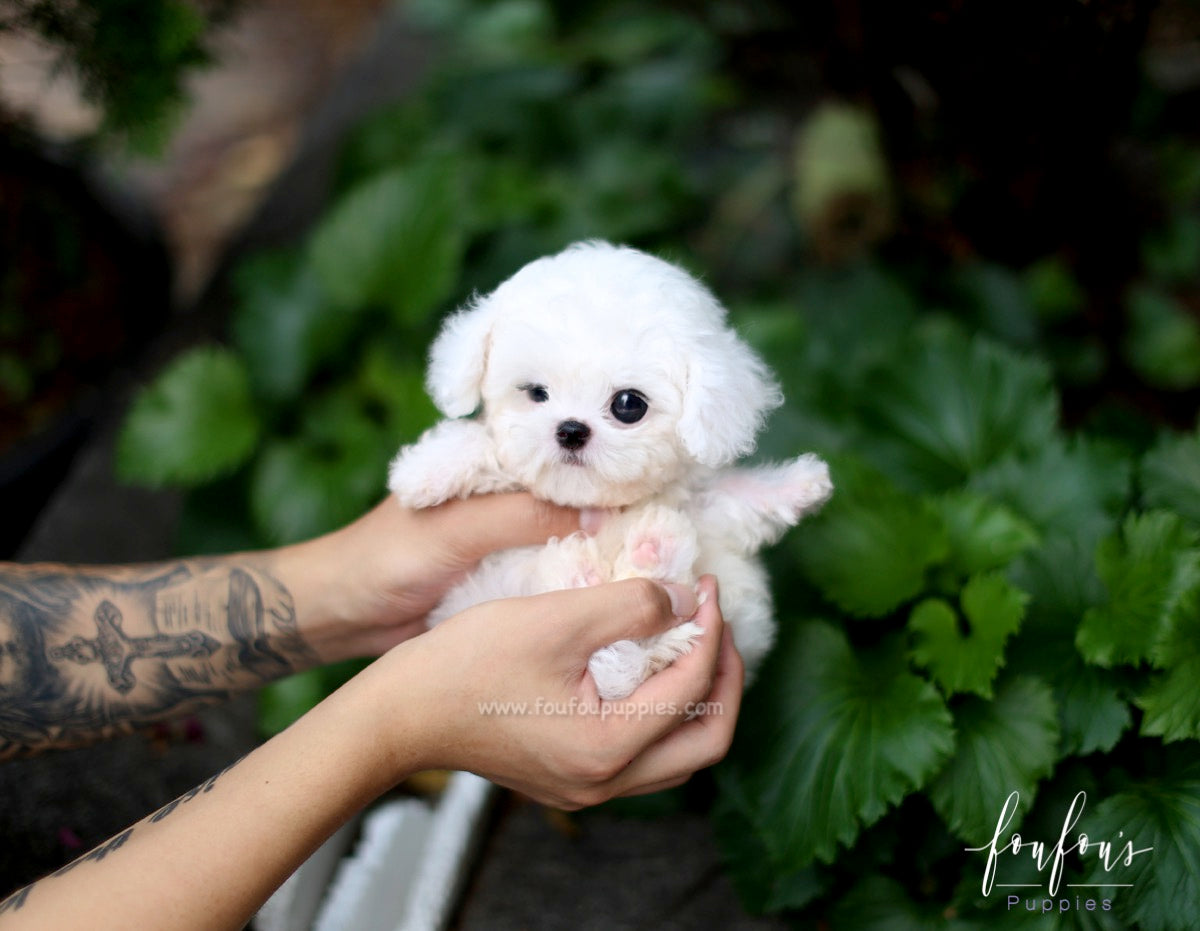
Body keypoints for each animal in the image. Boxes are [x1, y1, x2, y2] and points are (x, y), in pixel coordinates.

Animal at [388, 239, 830, 700]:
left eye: (628, 405)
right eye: (536, 393)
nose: (570, 430)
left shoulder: (700, 504)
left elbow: (732, 501)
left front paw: (800, 484)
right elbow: (488, 448)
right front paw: (426, 469)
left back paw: (648, 550)